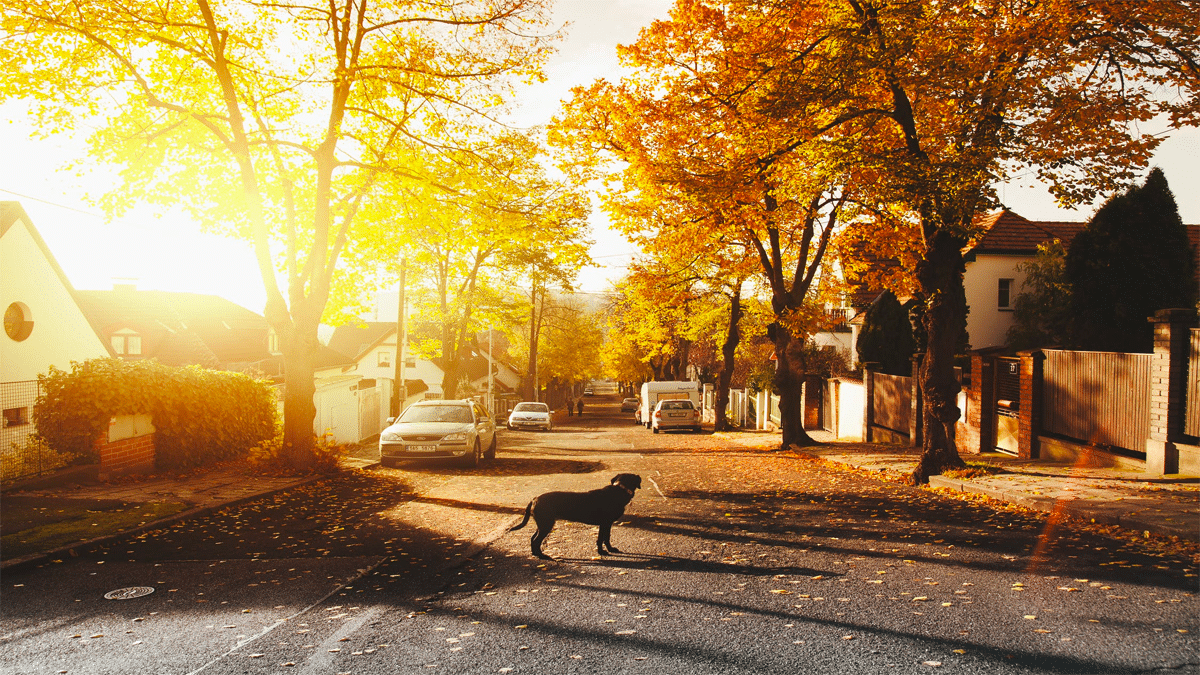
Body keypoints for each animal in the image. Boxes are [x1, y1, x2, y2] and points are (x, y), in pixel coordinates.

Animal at [506, 470, 643, 559]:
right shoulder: (605, 523)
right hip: (546, 524)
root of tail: (534, 499)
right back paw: (541, 555)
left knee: (532, 538)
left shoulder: (607, 524)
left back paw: (535, 553)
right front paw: (602, 552)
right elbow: (601, 539)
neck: (620, 489)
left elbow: (606, 537)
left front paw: (610, 549)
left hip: (543, 523)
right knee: (536, 540)